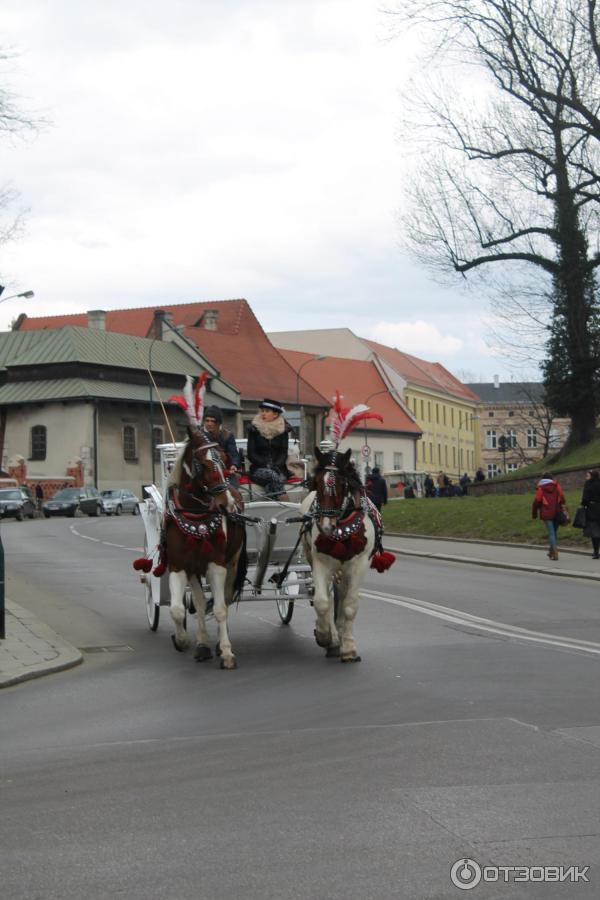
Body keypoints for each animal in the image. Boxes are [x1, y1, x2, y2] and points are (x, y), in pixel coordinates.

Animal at [163, 428, 245, 668]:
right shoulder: (179, 566)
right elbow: (178, 609)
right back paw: (202, 645)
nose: (227, 503)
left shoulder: (217, 565)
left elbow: (219, 608)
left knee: (225, 599)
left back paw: (217, 644)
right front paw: (182, 641)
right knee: (199, 604)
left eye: (224, 460)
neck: (195, 514)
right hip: (194, 569)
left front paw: (226, 652)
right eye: (203, 464)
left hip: (232, 563)